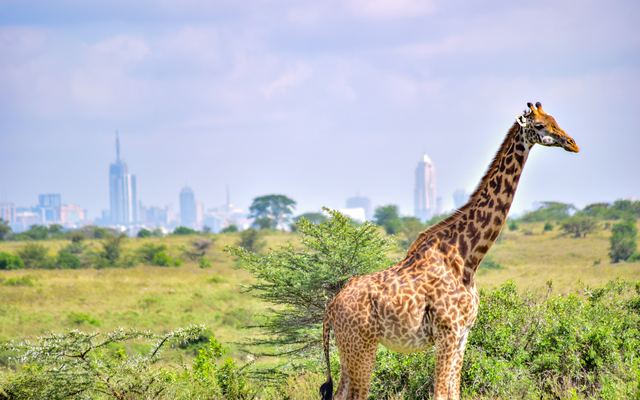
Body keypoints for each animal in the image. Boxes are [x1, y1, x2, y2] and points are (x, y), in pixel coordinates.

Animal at [319, 102, 579, 400]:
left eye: (554, 119)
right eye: (539, 125)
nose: (572, 143)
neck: (468, 257)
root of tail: (331, 308)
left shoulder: (463, 334)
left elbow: (455, 391)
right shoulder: (448, 332)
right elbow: (442, 393)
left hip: (349, 347)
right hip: (361, 344)